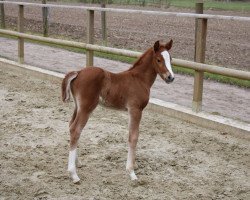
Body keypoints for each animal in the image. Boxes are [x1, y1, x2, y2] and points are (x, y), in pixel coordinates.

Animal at [61, 39, 175, 183]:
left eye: (170, 58)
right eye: (159, 59)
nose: (170, 77)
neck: (139, 79)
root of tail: (78, 72)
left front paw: (133, 167)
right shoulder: (135, 109)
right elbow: (133, 136)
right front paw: (131, 172)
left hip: (78, 106)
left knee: (71, 127)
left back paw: (77, 163)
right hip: (86, 108)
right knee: (76, 130)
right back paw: (73, 174)